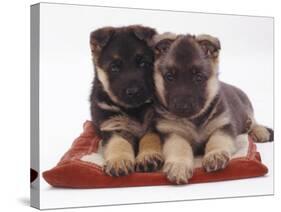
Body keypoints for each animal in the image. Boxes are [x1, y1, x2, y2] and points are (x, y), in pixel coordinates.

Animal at [88, 25, 163, 177]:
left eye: (143, 63)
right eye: (114, 68)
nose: (133, 92)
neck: (134, 109)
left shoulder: (153, 123)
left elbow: (150, 138)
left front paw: (148, 156)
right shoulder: (112, 125)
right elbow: (118, 141)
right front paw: (119, 160)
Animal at [151, 32, 272, 184]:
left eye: (198, 77)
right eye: (169, 77)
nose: (183, 106)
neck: (195, 120)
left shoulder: (223, 127)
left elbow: (217, 140)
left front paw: (215, 154)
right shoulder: (172, 133)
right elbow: (179, 147)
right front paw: (179, 165)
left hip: (246, 107)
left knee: (253, 120)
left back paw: (259, 130)